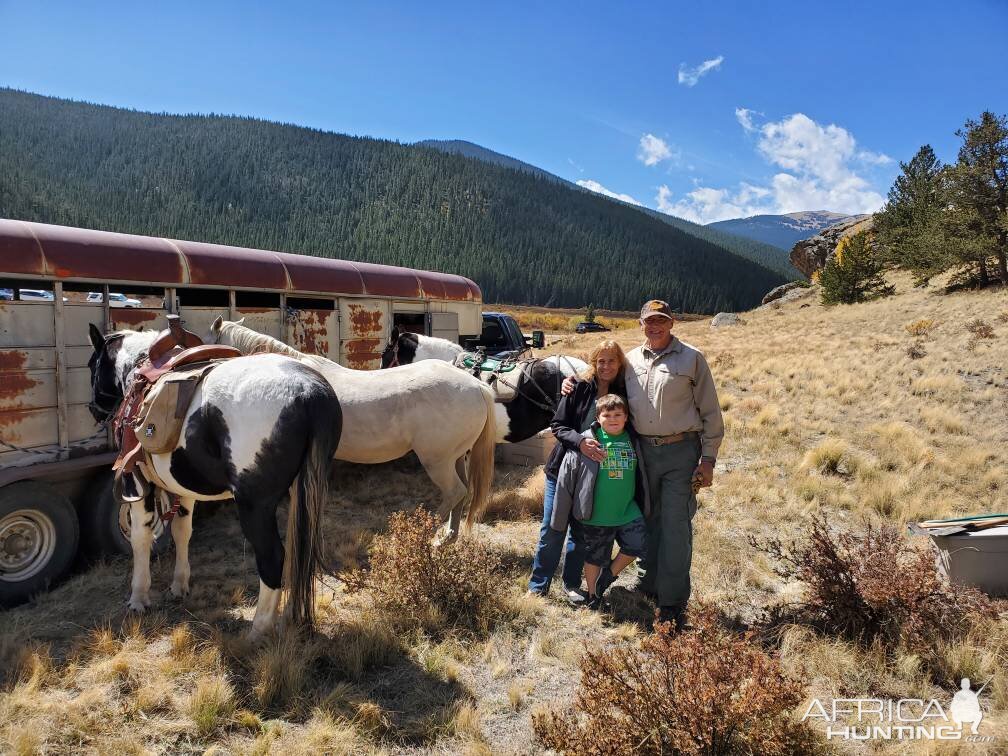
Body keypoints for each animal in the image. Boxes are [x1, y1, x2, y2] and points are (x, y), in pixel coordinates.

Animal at [87, 326, 338, 641]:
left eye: (92, 365)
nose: (93, 409)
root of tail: (309, 391)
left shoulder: (137, 483)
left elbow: (141, 538)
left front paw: (139, 598)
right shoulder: (183, 487)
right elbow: (182, 531)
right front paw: (179, 585)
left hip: (255, 506)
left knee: (273, 558)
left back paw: (258, 630)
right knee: (299, 553)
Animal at [207, 316, 495, 540]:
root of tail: (477, 386)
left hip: (437, 461)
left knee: (455, 492)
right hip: (456, 457)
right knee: (462, 492)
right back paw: (448, 536)